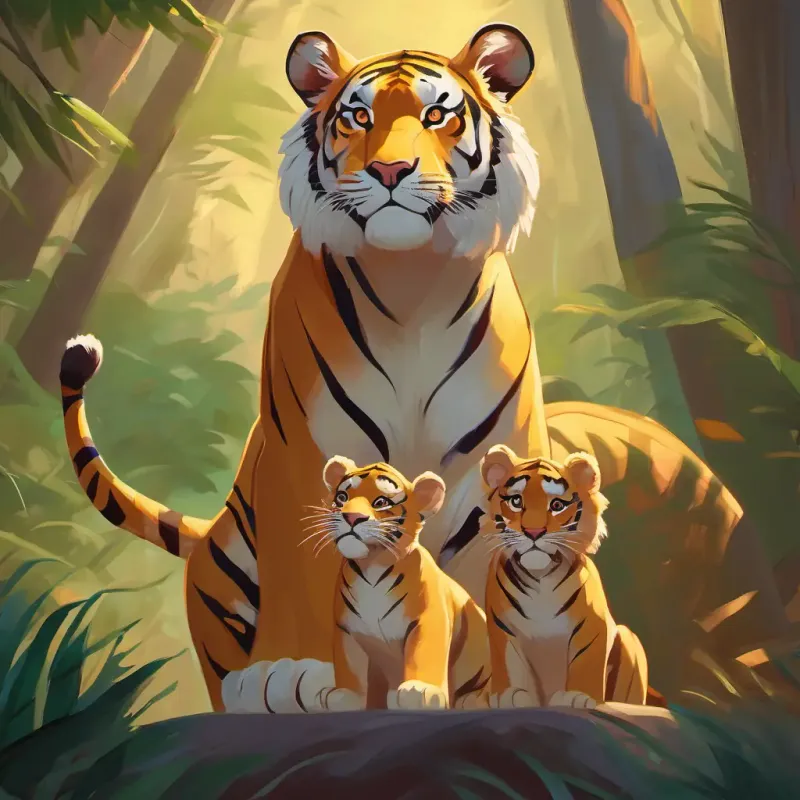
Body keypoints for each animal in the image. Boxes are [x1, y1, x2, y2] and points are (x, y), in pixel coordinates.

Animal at [318, 456, 490, 710]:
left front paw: (421, 691)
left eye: (381, 502)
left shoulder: (429, 618)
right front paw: (345, 696)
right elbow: (349, 664)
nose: (351, 517)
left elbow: (423, 652)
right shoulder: (346, 629)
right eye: (342, 497)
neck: (372, 566)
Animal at [480, 444, 649, 710]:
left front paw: (578, 697)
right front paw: (510, 695)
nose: (534, 532)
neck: (540, 577)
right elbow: (508, 662)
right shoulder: (502, 628)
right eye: (516, 501)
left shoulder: (592, 625)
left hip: (628, 637)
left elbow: (586, 661)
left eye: (557, 505)